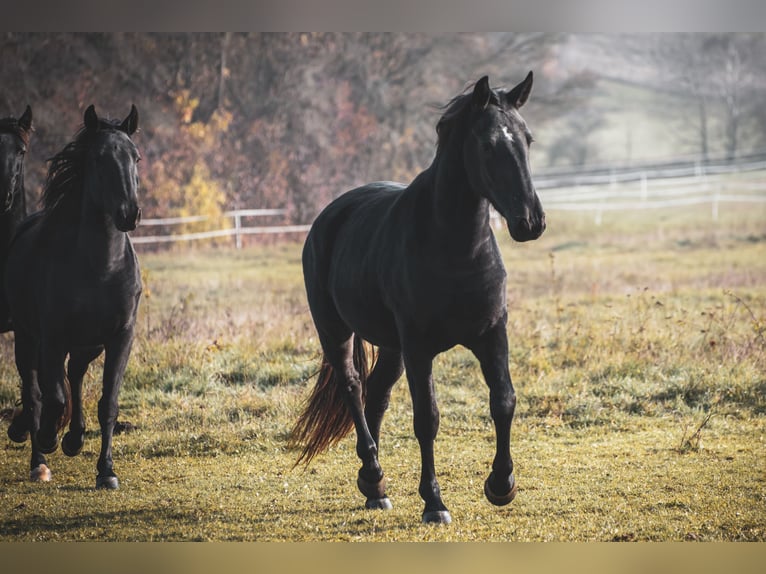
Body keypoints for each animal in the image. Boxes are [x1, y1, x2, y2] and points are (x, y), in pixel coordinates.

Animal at [4, 104, 142, 490]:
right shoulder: (52, 337)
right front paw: (49, 436)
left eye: (135, 157)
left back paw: (74, 437)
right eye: (99, 158)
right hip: (29, 337)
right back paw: (38, 456)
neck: (101, 268)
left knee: (76, 375)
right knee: (36, 390)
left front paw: (106, 470)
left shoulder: (120, 337)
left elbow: (107, 402)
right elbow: (52, 396)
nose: (129, 213)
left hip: (87, 344)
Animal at [292, 73, 548, 528]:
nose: (530, 222)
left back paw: (374, 487)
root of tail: (330, 215)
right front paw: (434, 502)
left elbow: (503, 401)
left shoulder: (491, 334)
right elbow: (426, 419)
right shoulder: (419, 348)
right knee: (353, 387)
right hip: (336, 331)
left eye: (527, 139)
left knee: (376, 395)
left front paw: (501, 484)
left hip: (392, 348)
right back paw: (374, 473)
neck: (454, 247)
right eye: (488, 145)